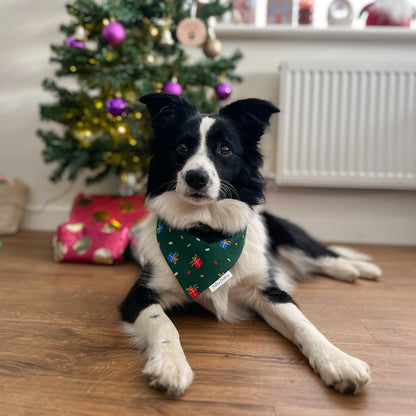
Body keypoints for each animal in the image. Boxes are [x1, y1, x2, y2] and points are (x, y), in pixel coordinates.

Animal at [119, 93, 380, 396]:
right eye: (181, 147)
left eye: (225, 149)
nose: (196, 177)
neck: (206, 234)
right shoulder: (140, 293)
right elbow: (164, 325)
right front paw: (170, 364)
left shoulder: (268, 290)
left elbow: (303, 324)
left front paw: (338, 360)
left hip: (290, 235)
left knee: (324, 254)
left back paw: (359, 269)